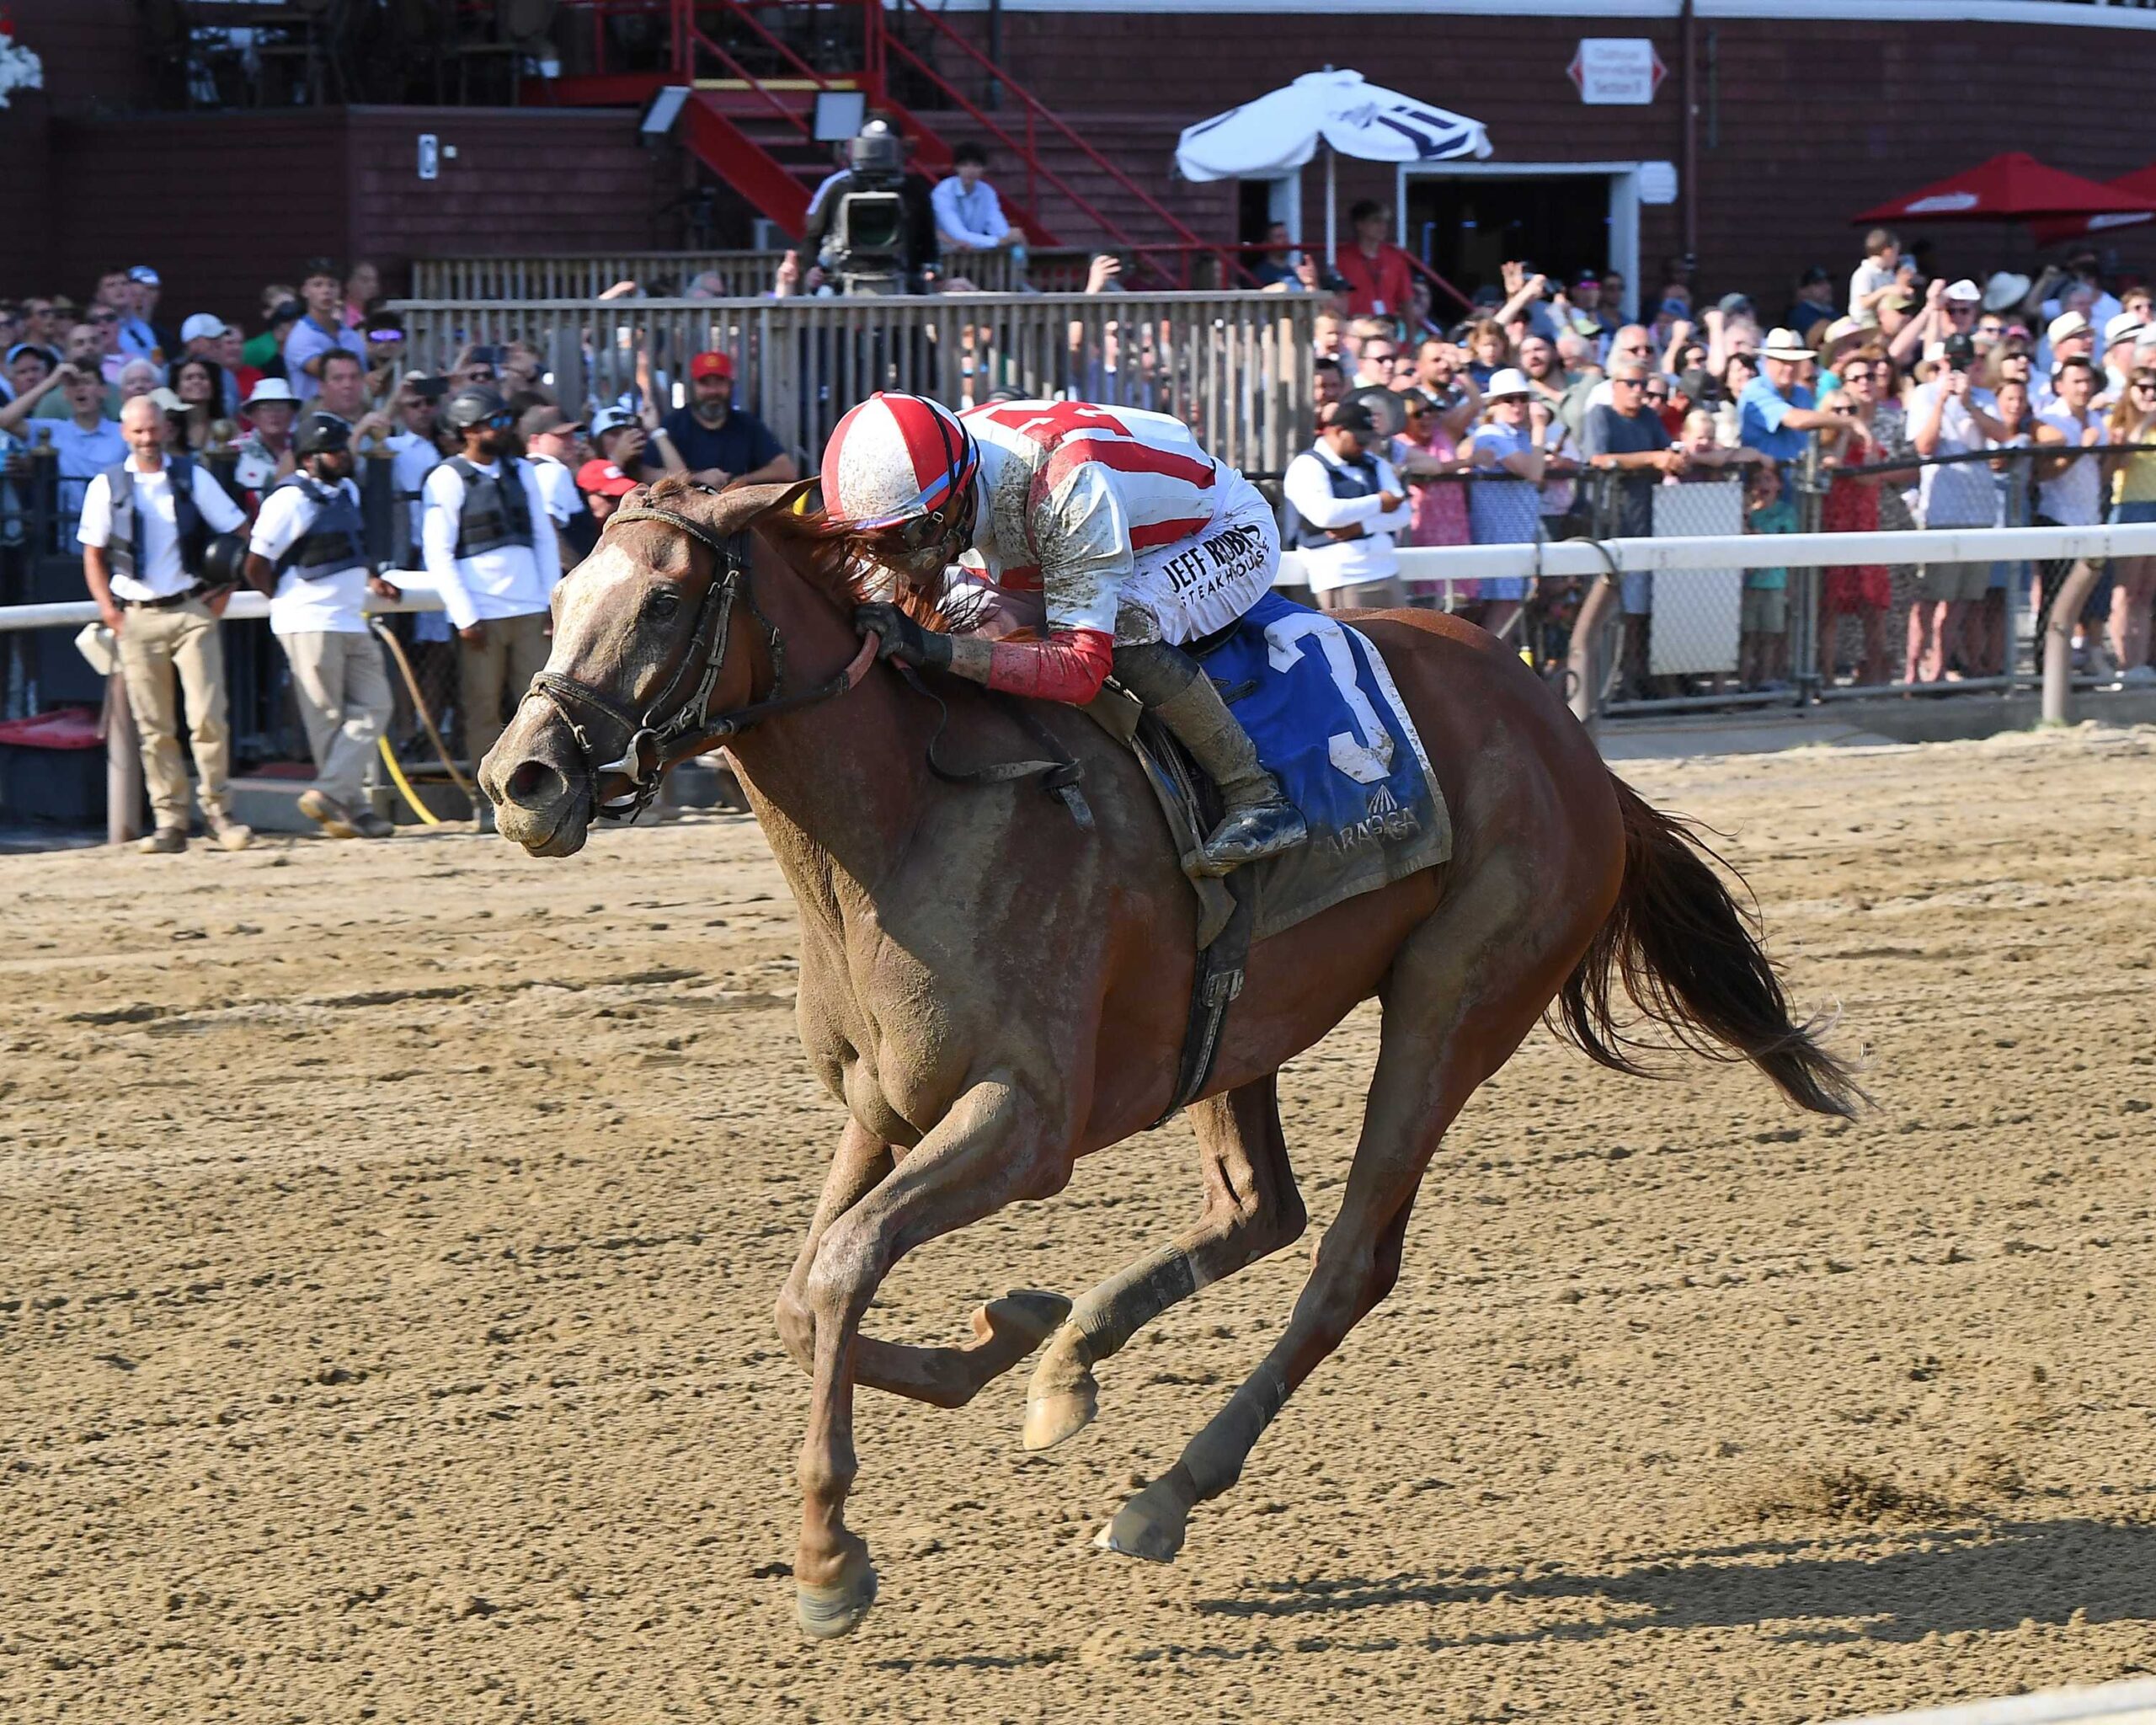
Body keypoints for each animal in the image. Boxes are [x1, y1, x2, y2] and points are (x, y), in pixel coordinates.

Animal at [478, 475, 1859, 1639]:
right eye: (561, 590)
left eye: (664, 600)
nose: (518, 778)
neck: (910, 818)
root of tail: (1571, 738)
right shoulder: (882, 1105)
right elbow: (804, 1294)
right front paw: (1006, 1332)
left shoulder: (1025, 1119)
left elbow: (842, 1270)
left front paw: (828, 1559)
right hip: (1237, 1023)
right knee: (1258, 1208)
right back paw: (1071, 1351)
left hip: (1456, 998)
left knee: (1349, 1257)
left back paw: (1165, 1491)